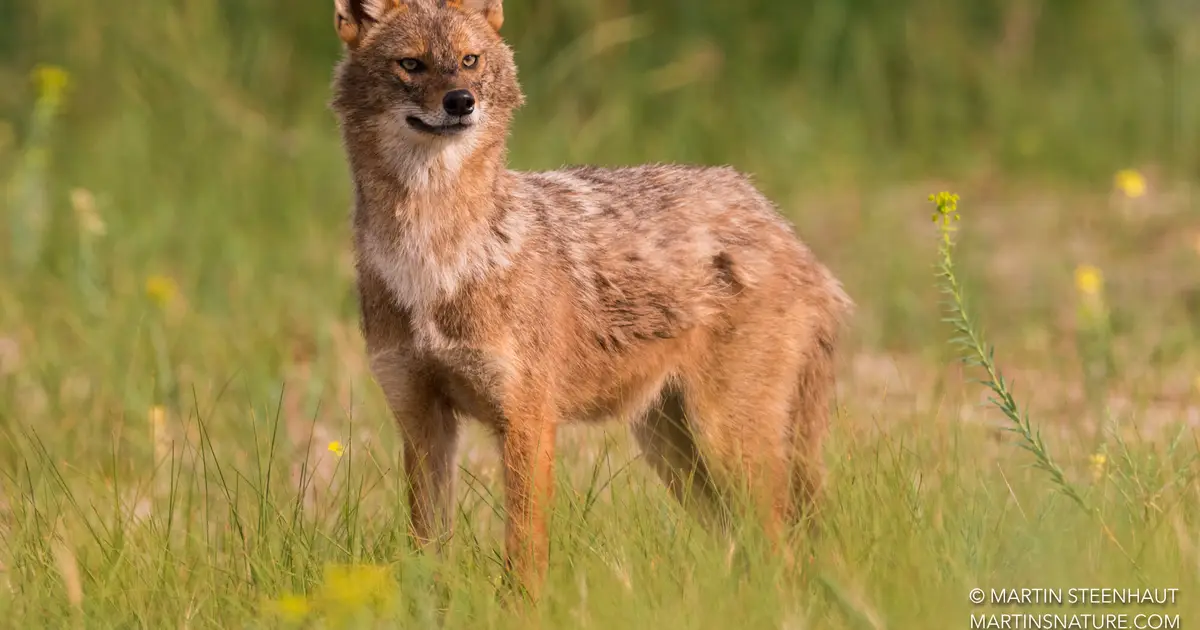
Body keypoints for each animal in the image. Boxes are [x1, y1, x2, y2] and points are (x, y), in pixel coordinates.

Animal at [329, 0, 853, 595]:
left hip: (726, 443)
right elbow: (427, 559)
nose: (461, 102)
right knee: (752, 552)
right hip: (674, 452)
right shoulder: (422, 422)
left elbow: (524, 559)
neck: (433, 261)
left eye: (469, 60)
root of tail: (782, 226)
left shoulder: (528, 421)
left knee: (783, 555)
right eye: (411, 64)